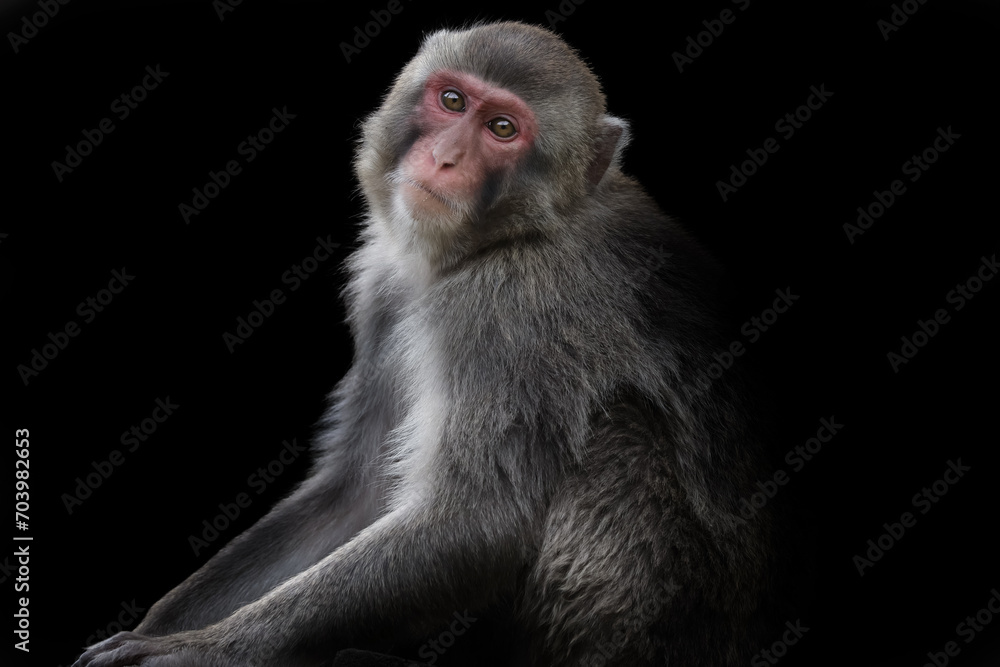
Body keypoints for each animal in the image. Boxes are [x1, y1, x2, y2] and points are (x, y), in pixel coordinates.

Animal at [73, 21, 783, 667]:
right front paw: (159, 628)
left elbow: (472, 522)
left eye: (503, 129)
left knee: (619, 434)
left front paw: (194, 650)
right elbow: (356, 493)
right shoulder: (384, 292)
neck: (501, 240)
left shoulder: (507, 307)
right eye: (451, 101)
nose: (445, 157)